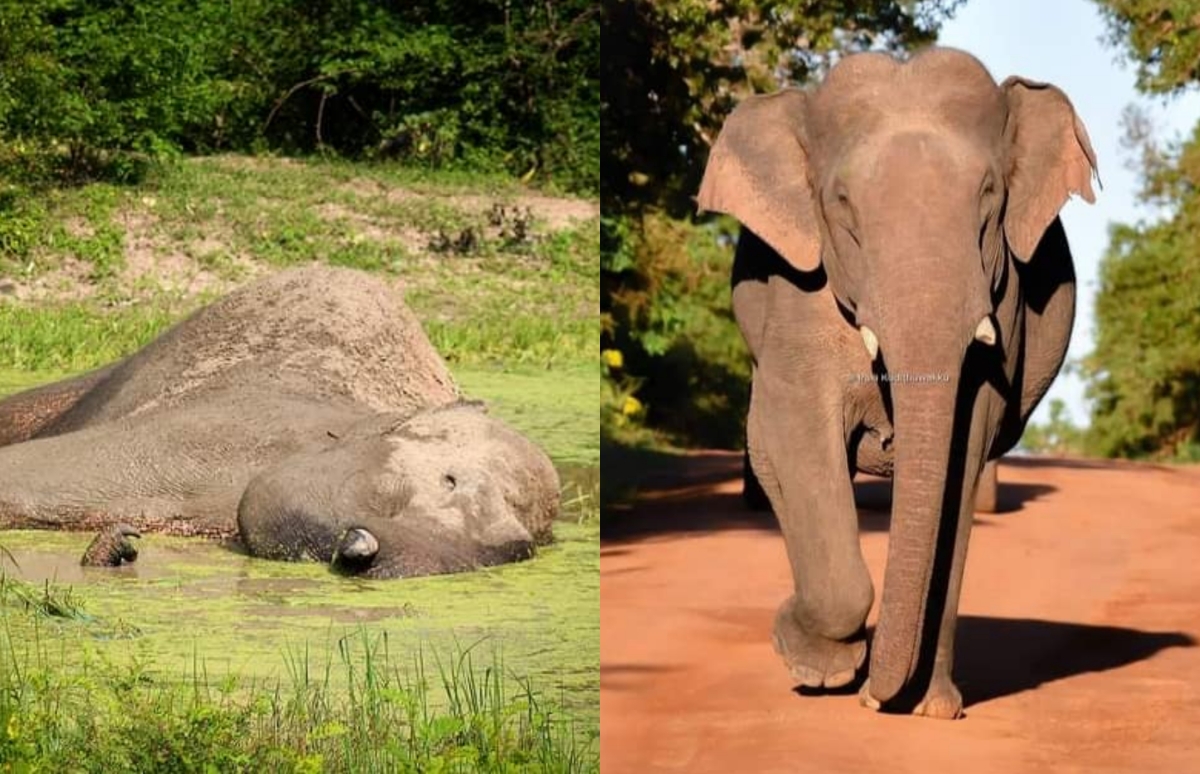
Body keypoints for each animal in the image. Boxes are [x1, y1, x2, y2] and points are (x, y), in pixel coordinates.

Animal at [696, 46, 1099, 720]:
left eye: (989, 195)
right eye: (841, 203)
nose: (872, 699)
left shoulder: (1006, 301)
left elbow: (963, 457)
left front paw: (926, 708)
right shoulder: (799, 292)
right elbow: (794, 431)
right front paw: (818, 665)